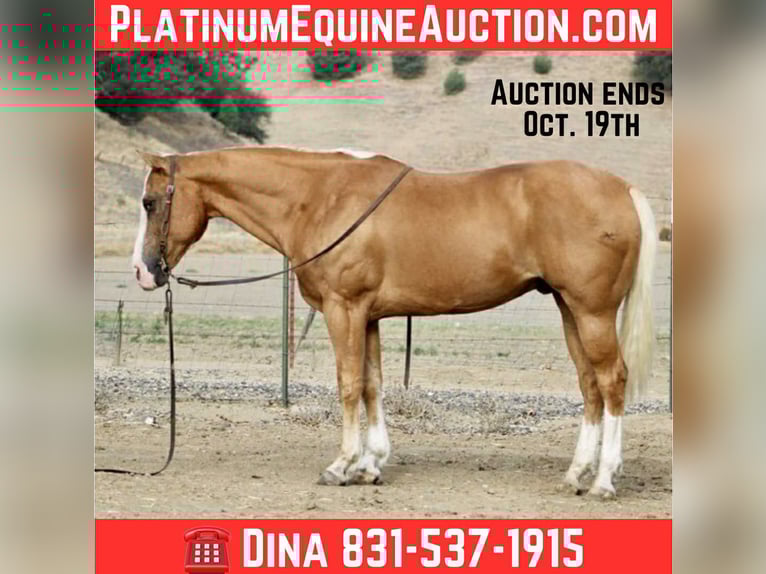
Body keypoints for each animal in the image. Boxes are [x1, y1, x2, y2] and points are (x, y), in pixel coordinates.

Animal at [132, 146, 656, 498]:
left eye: (150, 202)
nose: (142, 271)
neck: (320, 198)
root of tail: (622, 189)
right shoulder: (367, 315)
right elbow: (371, 385)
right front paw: (371, 465)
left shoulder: (344, 308)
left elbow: (347, 384)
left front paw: (341, 465)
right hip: (570, 309)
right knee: (590, 385)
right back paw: (576, 474)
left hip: (592, 311)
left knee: (612, 381)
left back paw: (604, 480)